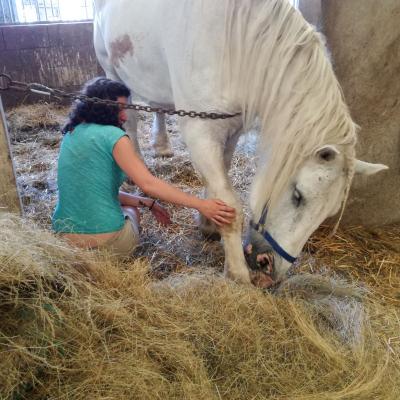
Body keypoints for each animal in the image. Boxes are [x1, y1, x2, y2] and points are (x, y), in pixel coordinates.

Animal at [94, 0, 388, 288]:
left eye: (328, 212)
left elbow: (218, 180)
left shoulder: (229, 129)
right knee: (129, 122)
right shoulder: (200, 131)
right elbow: (230, 203)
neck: (230, 44)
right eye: (298, 196)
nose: (269, 269)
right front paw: (237, 273)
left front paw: (209, 224)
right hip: (113, 73)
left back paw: (162, 145)